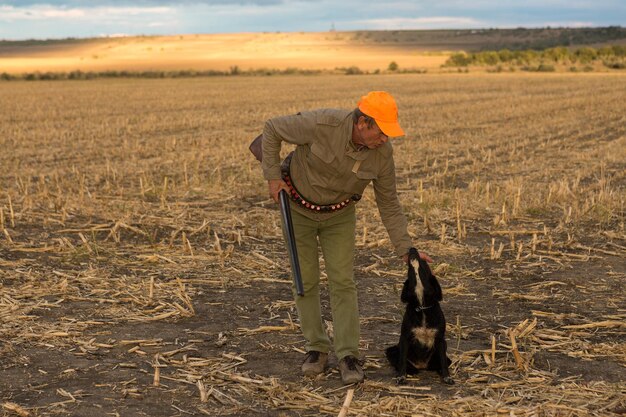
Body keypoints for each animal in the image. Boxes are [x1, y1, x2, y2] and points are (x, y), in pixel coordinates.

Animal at [382, 247, 450, 384]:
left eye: (424, 262)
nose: (412, 248)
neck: (422, 306)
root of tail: (421, 365)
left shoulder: (440, 340)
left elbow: (443, 361)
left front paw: (447, 376)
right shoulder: (404, 338)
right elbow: (402, 360)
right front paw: (401, 376)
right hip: (391, 350)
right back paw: (411, 370)